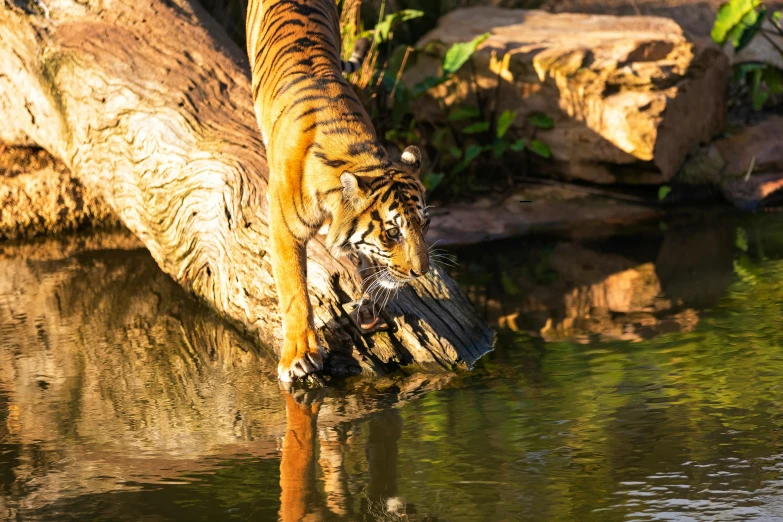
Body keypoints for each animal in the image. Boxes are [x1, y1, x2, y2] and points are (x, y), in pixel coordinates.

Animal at [247, 0, 432, 378]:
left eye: (425, 224)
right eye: (393, 233)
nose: (421, 272)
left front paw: (369, 306)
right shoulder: (283, 227)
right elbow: (293, 288)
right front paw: (299, 355)